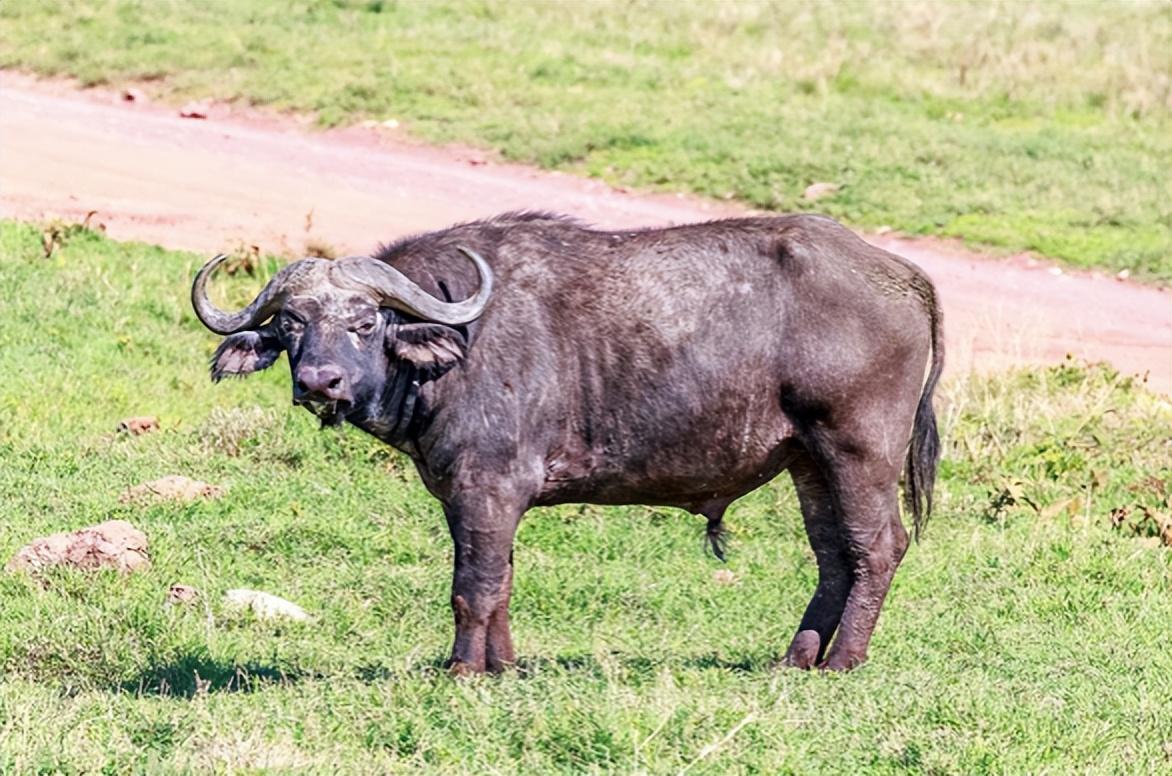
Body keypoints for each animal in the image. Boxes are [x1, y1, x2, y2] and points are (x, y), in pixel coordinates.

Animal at [192, 213, 942, 675]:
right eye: (291, 323)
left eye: (367, 320)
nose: (320, 381)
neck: (455, 349)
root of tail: (904, 275)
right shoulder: (478, 499)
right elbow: (499, 581)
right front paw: (503, 666)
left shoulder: (487, 488)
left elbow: (472, 587)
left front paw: (463, 670)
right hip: (807, 461)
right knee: (834, 556)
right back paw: (796, 658)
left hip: (857, 451)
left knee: (879, 547)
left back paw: (842, 661)